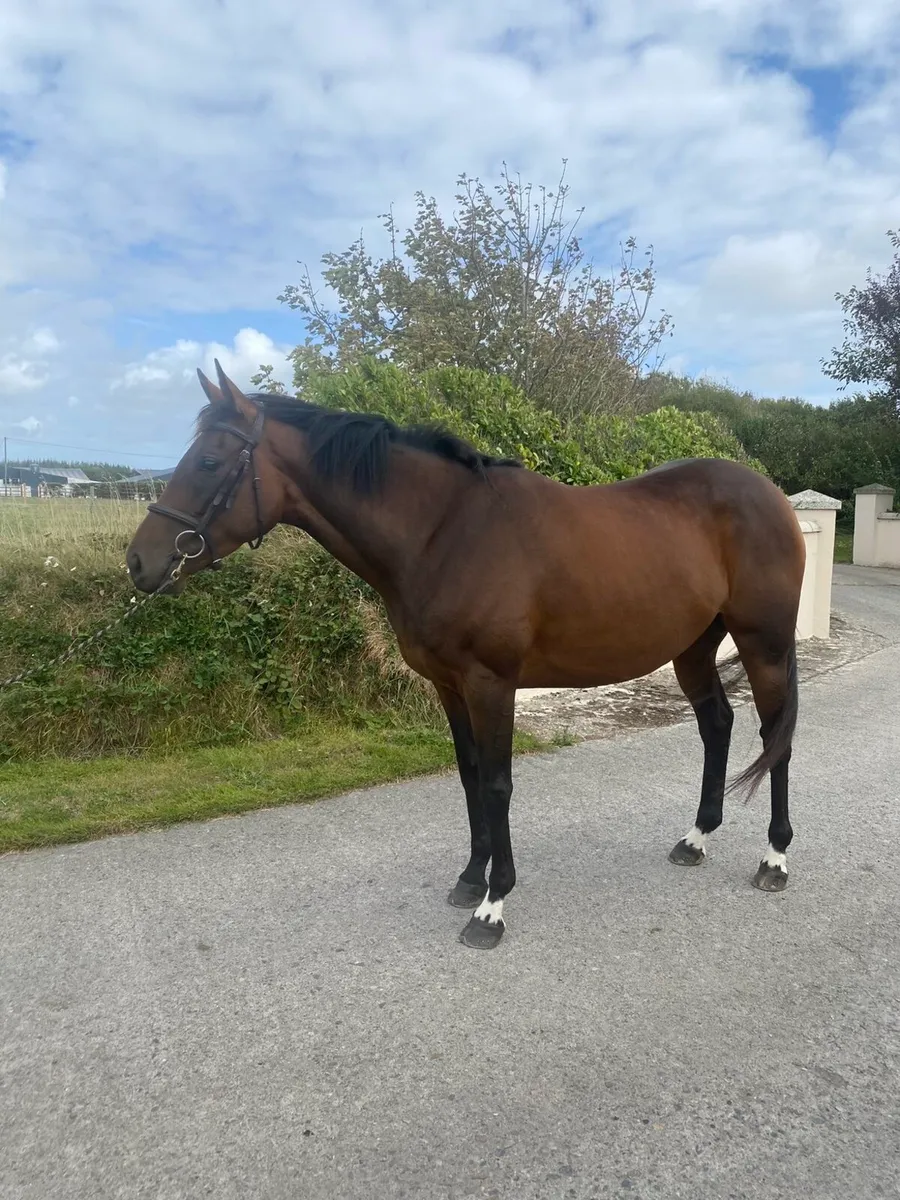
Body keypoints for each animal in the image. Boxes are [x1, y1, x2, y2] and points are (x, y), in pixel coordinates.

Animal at [126, 361, 806, 950]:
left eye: (209, 460)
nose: (140, 563)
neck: (445, 533)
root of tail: (771, 494)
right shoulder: (448, 685)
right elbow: (470, 775)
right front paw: (469, 878)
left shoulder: (490, 683)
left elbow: (499, 783)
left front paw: (492, 906)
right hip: (693, 648)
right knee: (718, 724)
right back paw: (696, 838)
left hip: (764, 645)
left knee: (776, 736)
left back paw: (775, 857)